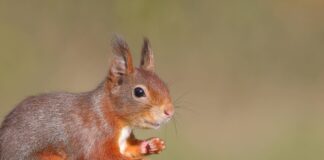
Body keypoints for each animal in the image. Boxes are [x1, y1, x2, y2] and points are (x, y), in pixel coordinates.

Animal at [0, 35, 175, 159]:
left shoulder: (123, 142)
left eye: (164, 84)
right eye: (139, 92)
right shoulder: (94, 137)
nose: (170, 111)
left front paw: (152, 145)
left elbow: (130, 149)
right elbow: (102, 155)